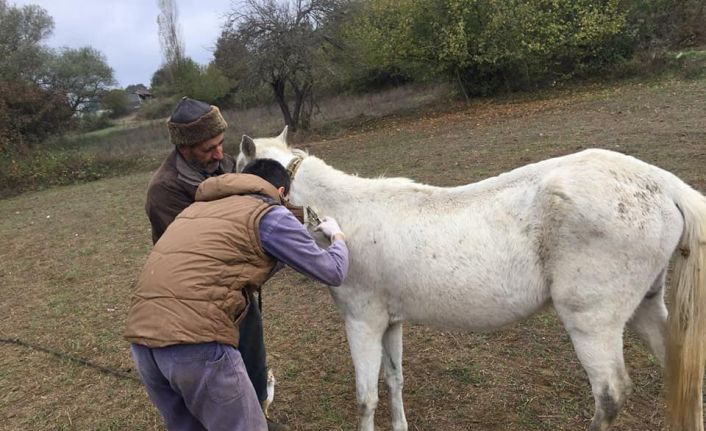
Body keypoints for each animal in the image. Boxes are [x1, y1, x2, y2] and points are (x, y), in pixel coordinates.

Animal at [235, 128, 704, 431]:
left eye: (237, 165)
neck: (346, 214)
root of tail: (663, 183)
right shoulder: (390, 322)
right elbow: (394, 380)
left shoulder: (361, 322)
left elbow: (366, 397)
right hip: (645, 307)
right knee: (683, 371)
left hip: (592, 322)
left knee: (610, 396)